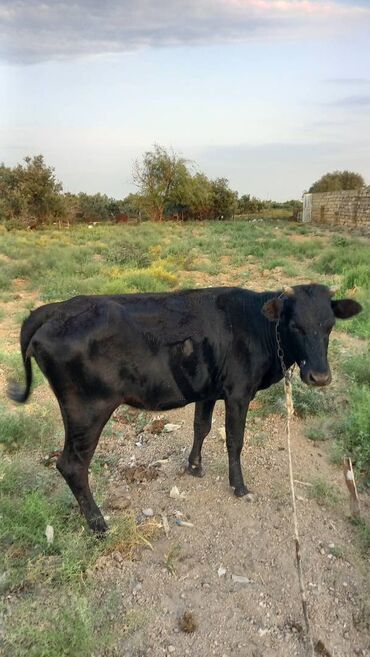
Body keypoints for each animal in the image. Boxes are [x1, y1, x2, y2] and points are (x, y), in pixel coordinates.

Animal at [7, 284, 362, 532]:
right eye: (295, 325)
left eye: (329, 325)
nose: (319, 376)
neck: (256, 325)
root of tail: (54, 309)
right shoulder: (238, 392)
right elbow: (235, 440)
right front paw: (239, 486)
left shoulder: (207, 389)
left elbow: (201, 427)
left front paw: (194, 465)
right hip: (87, 410)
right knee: (72, 465)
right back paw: (98, 524)